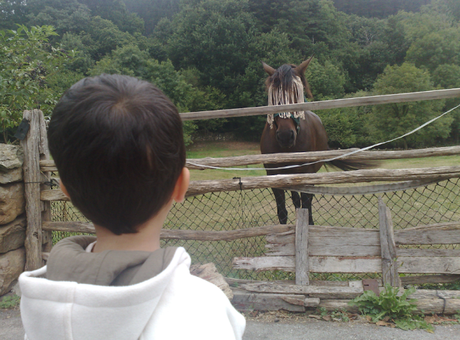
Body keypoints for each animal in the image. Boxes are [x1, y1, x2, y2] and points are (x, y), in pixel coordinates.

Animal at [262, 56, 366, 224]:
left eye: (298, 94)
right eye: (273, 95)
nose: (285, 136)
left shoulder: (307, 174)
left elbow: (306, 204)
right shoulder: (273, 177)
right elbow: (282, 212)